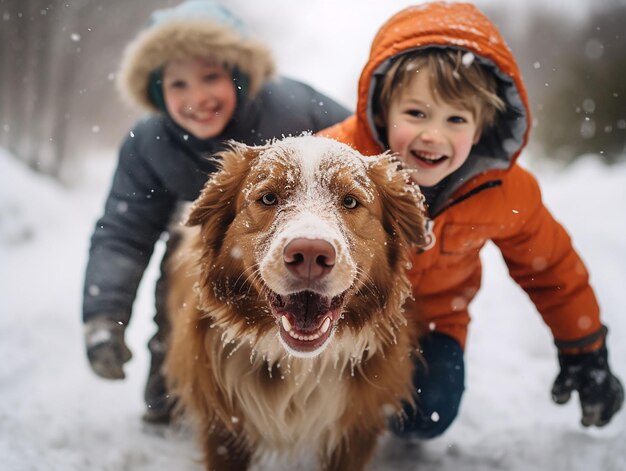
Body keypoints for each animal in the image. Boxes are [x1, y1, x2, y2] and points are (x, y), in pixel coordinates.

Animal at [166, 136, 426, 471]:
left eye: (350, 202)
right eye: (268, 198)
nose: (311, 254)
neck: (298, 363)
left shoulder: (356, 431)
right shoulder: (223, 428)